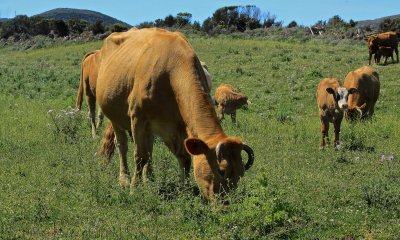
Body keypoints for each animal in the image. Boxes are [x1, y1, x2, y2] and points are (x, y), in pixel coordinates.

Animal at [95, 27, 255, 202]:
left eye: (240, 174)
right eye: (221, 170)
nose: (226, 203)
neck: (170, 72)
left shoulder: (177, 125)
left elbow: (184, 157)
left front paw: (184, 190)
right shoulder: (138, 118)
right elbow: (139, 156)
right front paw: (134, 188)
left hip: (150, 128)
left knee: (149, 150)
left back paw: (149, 179)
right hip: (115, 117)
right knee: (122, 146)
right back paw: (124, 179)